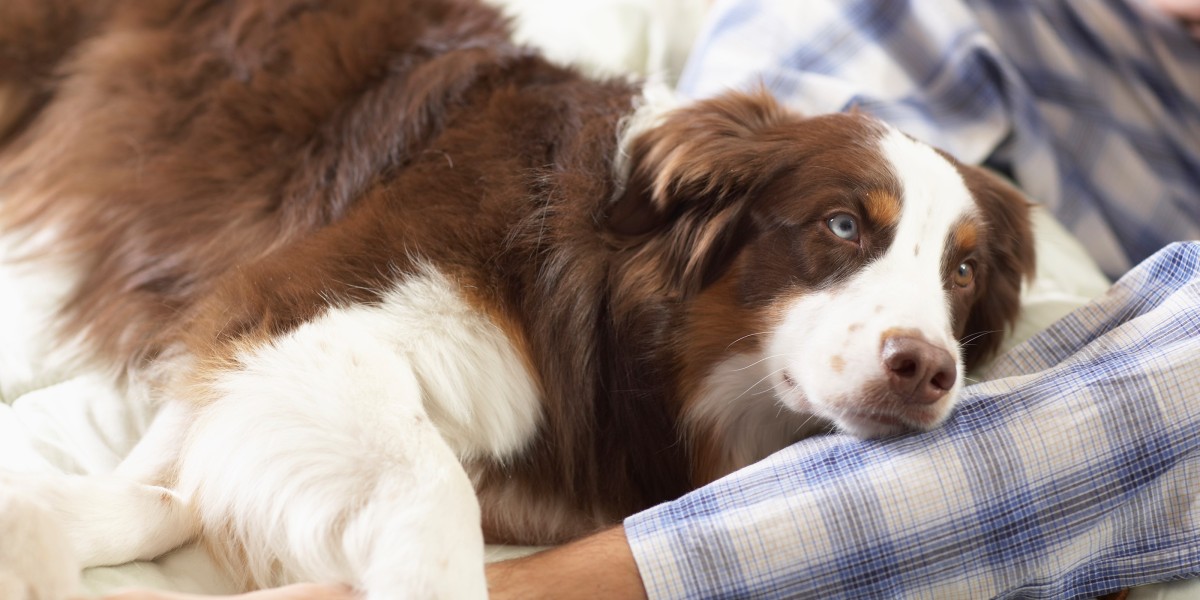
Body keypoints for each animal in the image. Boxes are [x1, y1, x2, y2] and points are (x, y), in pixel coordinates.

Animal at [0, 0, 1032, 597]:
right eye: (844, 226)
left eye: (962, 274)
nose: (926, 369)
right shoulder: (291, 313)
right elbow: (431, 491)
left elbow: (162, 490)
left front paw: (42, 528)